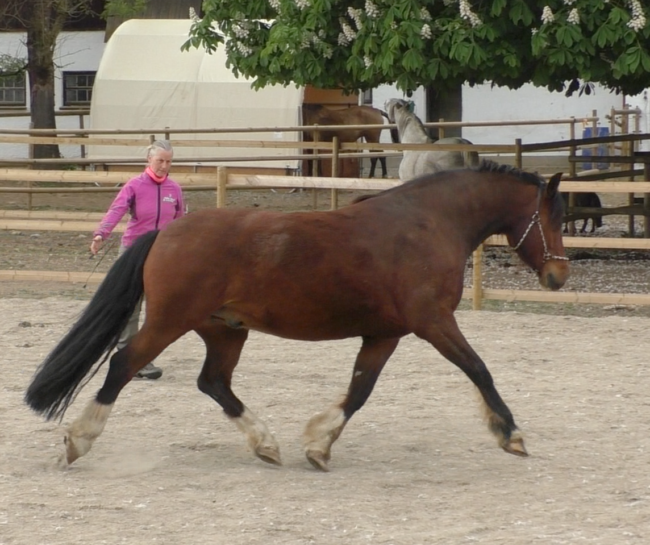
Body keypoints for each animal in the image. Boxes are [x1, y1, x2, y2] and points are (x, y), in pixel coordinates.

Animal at [25, 160, 569, 472]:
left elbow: (359, 390)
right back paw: (78, 441)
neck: (428, 223)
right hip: (168, 323)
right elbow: (479, 369)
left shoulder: (384, 334)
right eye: (553, 216)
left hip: (224, 331)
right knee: (123, 365)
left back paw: (266, 444)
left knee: (213, 383)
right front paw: (510, 435)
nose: (559, 275)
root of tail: (167, 232)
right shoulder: (432, 324)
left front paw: (319, 445)